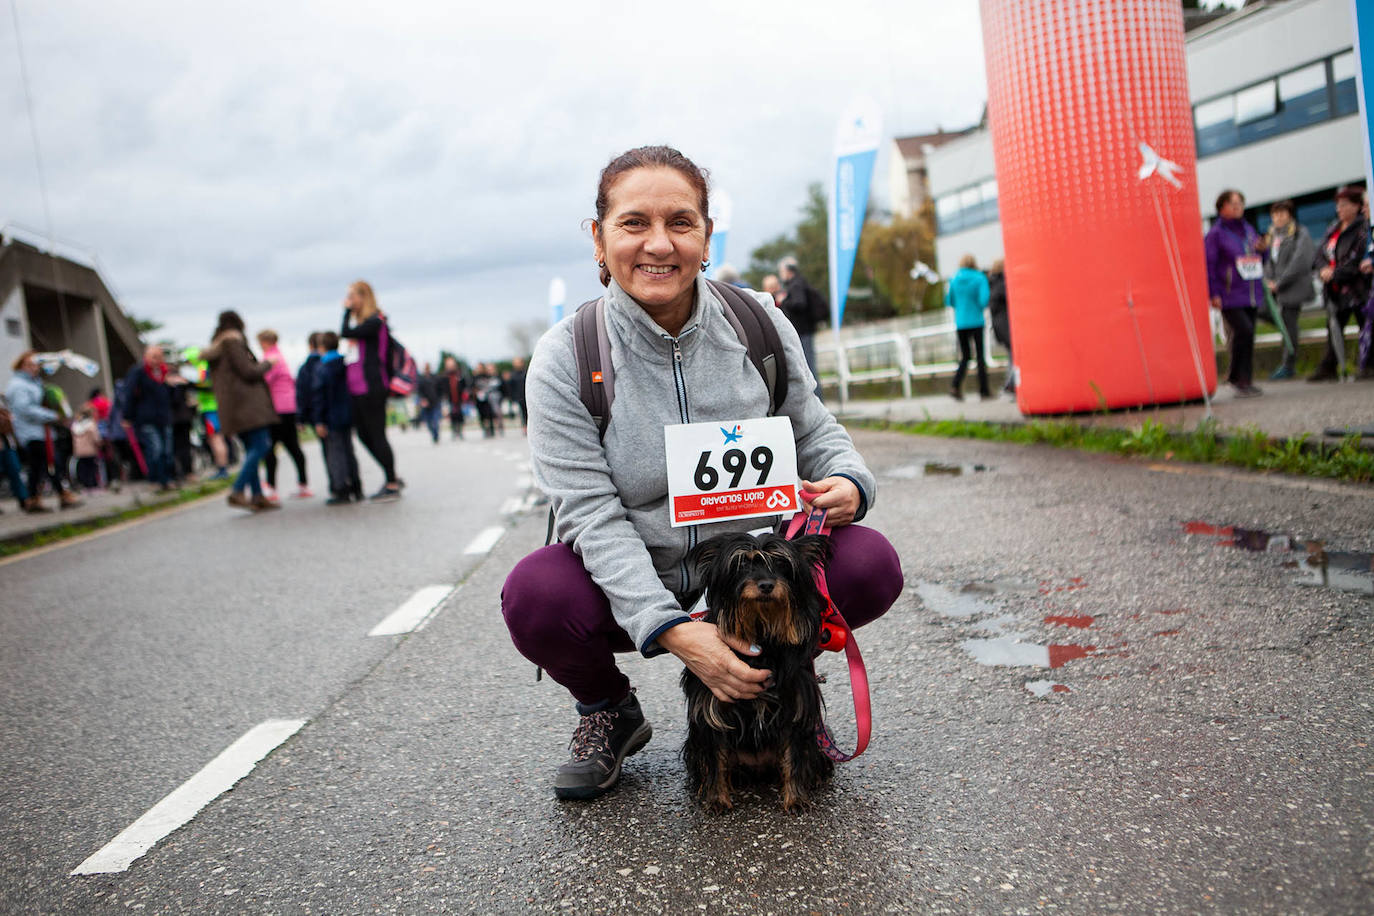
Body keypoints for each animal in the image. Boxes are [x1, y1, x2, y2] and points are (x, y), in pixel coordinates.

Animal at [681, 527, 829, 813]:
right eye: (742, 564)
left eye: (782, 565)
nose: (766, 585)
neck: (761, 631)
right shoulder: (712, 708)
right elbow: (715, 759)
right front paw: (716, 798)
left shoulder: (795, 709)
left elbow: (794, 757)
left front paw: (795, 798)